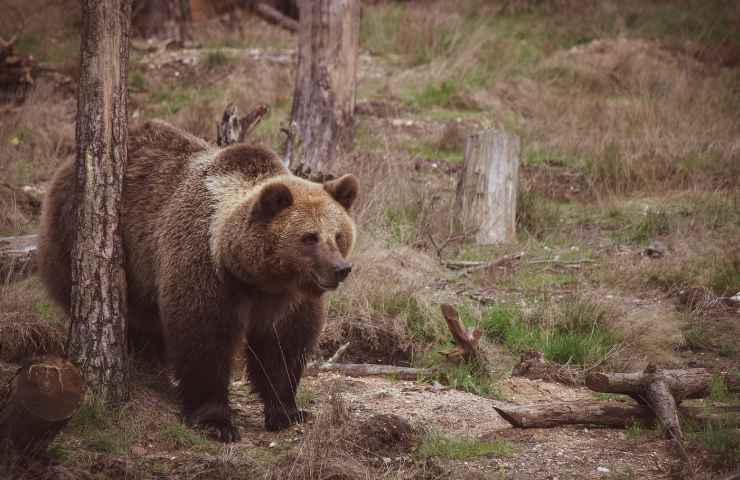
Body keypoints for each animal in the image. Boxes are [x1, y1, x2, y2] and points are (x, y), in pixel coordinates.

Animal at [39, 120, 358, 442]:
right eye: (309, 237)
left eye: (338, 235)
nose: (340, 268)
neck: (256, 277)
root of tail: (66, 166)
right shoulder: (205, 269)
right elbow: (203, 338)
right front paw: (216, 421)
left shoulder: (290, 299)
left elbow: (283, 347)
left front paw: (287, 412)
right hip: (83, 238)